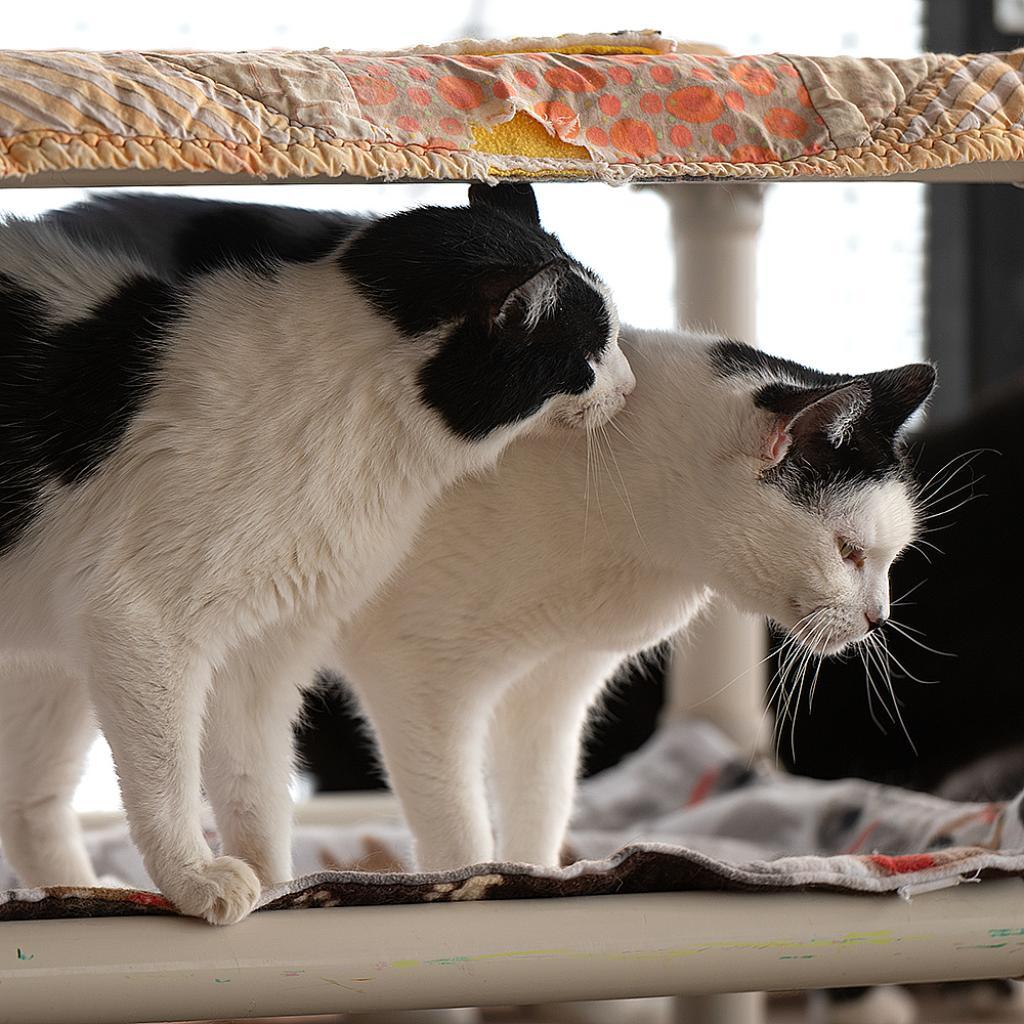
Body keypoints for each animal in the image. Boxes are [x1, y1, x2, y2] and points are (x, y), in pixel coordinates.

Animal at [0, 184, 630, 929]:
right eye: (591, 350)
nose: (630, 385)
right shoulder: (144, 628)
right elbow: (168, 781)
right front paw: (195, 879)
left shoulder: (263, 653)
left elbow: (258, 788)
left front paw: (282, 888)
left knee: (28, 802)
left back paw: (75, 892)